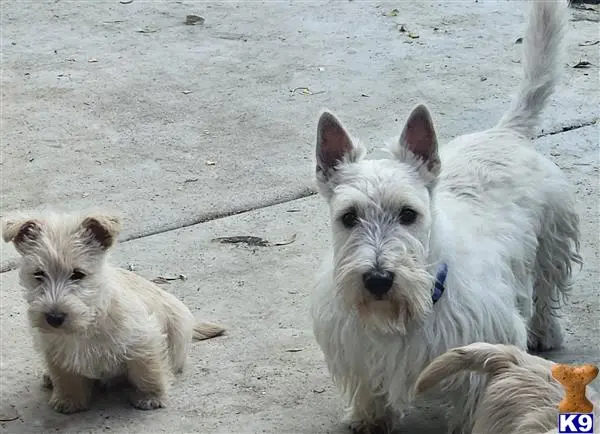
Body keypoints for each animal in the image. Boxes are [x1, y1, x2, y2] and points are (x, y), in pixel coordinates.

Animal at [1, 213, 225, 414]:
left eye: (78, 274)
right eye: (39, 274)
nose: (54, 318)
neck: (87, 322)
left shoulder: (144, 340)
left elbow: (148, 371)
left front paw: (151, 396)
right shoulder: (55, 351)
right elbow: (65, 376)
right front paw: (68, 399)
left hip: (178, 329)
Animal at [310, 1, 580, 432]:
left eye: (409, 214)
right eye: (349, 217)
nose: (378, 280)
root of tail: (505, 132)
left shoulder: (480, 347)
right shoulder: (357, 350)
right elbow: (369, 389)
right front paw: (369, 420)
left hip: (552, 239)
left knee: (546, 290)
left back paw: (546, 332)